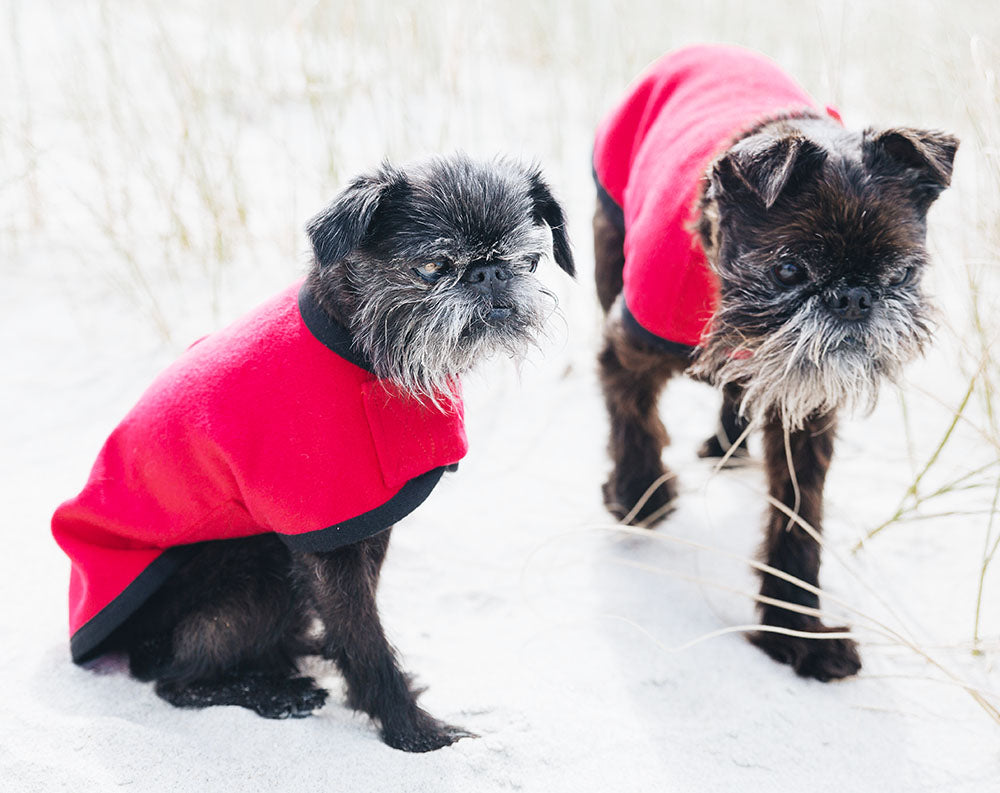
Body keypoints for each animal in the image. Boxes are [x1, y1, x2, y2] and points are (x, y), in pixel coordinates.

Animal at [50, 153, 576, 748]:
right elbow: (366, 642)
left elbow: (360, 618)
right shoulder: (325, 539)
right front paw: (412, 730)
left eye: (529, 261)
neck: (362, 352)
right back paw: (276, 693)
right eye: (433, 266)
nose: (489, 273)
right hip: (257, 575)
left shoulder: (367, 521)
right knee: (175, 681)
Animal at [588, 43, 956, 676]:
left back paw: (725, 441)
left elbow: (798, 517)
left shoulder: (804, 413)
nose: (854, 296)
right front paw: (639, 495)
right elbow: (633, 421)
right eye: (788, 270)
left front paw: (795, 630)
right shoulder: (625, 350)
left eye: (902, 272)